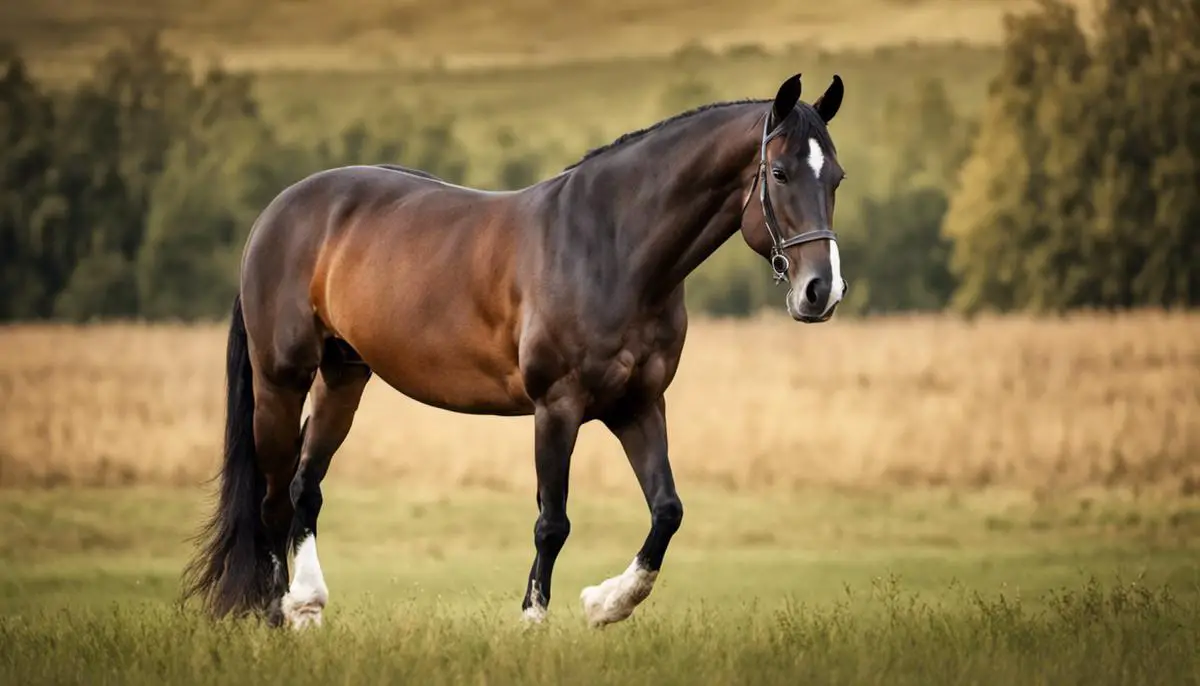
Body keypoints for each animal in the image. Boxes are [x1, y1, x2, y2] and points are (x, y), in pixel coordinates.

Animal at [182, 72, 849, 628]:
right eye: (780, 173)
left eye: (836, 177)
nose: (822, 291)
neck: (611, 246)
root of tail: (278, 212)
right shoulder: (557, 406)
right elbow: (552, 521)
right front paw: (534, 622)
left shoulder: (639, 405)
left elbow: (667, 510)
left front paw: (606, 604)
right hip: (281, 379)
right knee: (272, 498)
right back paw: (274, 617)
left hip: (344, 376)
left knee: (305, 485)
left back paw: (307, 607)